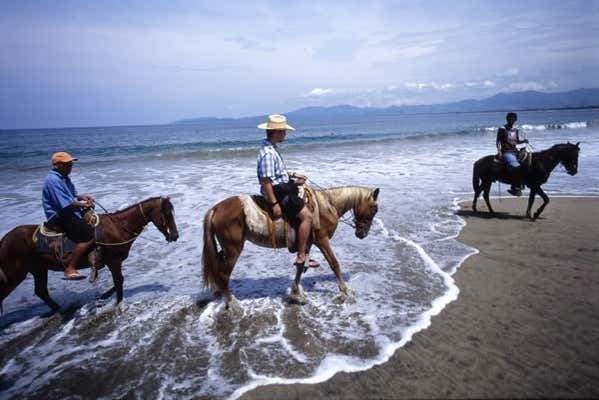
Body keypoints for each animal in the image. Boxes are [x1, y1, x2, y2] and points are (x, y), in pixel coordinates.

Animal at [0, 195, 178, 314]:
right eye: (167, 214)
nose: (175, 236)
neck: (118, 227)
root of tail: (5, 239)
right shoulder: (114, 261)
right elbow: (119, 281)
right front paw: (118, 304)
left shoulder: (112, 262)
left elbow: (117, 282)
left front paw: (103, 297)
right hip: (15, 275)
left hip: (38, 269)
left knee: (41, 291)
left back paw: (61, 310)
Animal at [202, 185, 380, 310]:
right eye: (375, 209)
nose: (362, 233)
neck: (327, 206)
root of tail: (215, 208)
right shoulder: (322, 240)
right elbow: (334, 264)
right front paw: (344, 292)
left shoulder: (307, 243)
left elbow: (300, 267)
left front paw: (296, 295)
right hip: (233, 249)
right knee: (223, 274)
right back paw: (232, 303)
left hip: (225, 249)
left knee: (217, 268)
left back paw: (219, 293)